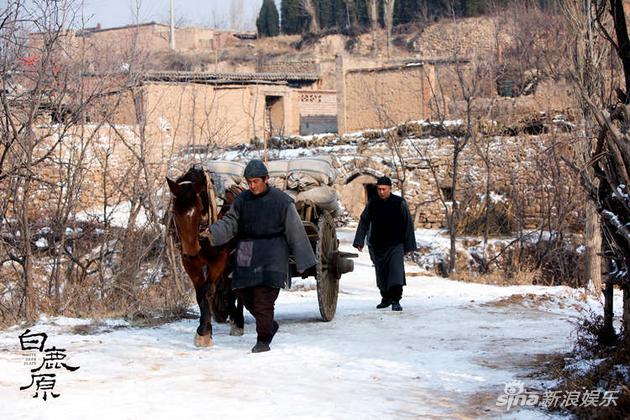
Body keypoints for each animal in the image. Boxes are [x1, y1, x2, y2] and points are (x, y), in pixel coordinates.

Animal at [167, 166, 246, 346]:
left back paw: (238, 321)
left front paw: (204, 333)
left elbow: (208, 290)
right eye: (174, 211)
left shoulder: (219, 258)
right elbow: (200, 294)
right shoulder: (189, 262)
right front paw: (204, 329)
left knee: (238, 287)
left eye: (199, 210)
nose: (191, 250)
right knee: (229, 285)